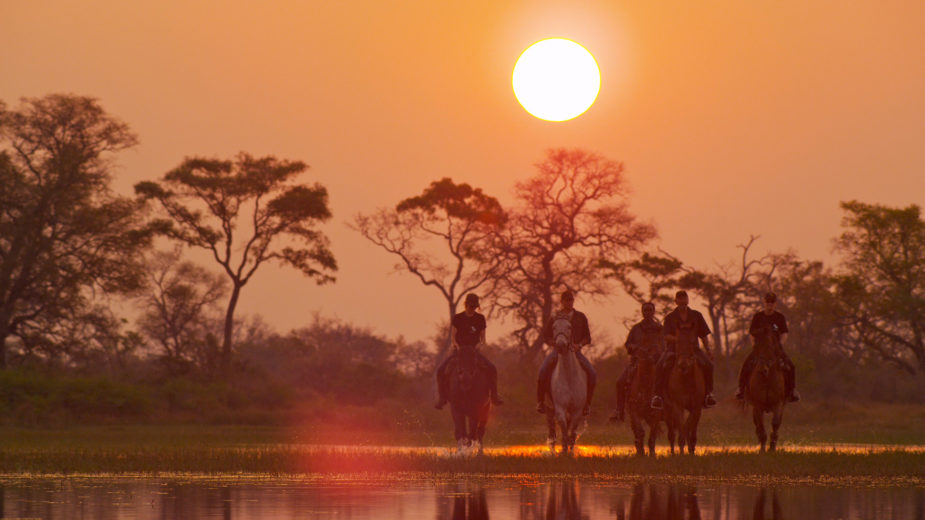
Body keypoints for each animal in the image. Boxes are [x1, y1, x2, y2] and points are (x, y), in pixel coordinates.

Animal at [543, 312, 587, 456]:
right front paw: (563, 451)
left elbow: (572, 432)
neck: (568, 376)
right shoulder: (560, 408)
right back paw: (552, 450)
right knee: (552, 431)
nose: (561, 345)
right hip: (548, 409)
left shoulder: (577, 411)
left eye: (569, 327)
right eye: (554, 327)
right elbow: (563, 430)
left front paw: (570, 451)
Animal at [664, 324, 706, 454]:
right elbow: (682, 431)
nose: (683, 364)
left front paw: (691, 451)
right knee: (671, 434)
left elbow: (689, 429)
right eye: (677, 342)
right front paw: (682, 453)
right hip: (667, 410)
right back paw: (673, 452)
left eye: (692, 341)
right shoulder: (678, 406)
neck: (687, 382)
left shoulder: (696, 408)